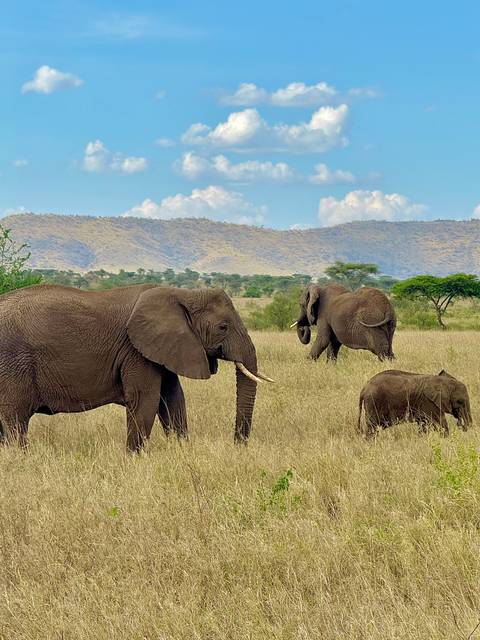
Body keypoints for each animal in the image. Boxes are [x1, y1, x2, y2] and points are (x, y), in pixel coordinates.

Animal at [0, 284, 273, 451]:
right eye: (223, 327)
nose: (237, 444)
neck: (184, 294)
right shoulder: (136, 350)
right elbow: (146, 400)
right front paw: (135, 458)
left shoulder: (164, 347)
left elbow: (172, 399)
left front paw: (181, 451)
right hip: (13, 364)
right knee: (15, 419)